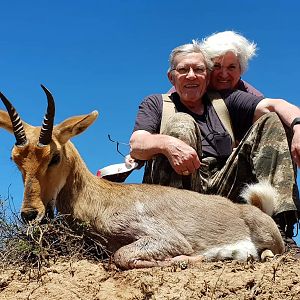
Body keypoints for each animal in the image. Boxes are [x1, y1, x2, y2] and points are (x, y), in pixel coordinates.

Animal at [0, 86, 284, 270]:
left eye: (54, 156)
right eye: (15, 158)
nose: (30, 213)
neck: (102, 197)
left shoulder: (167, 239)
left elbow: (121, 256)